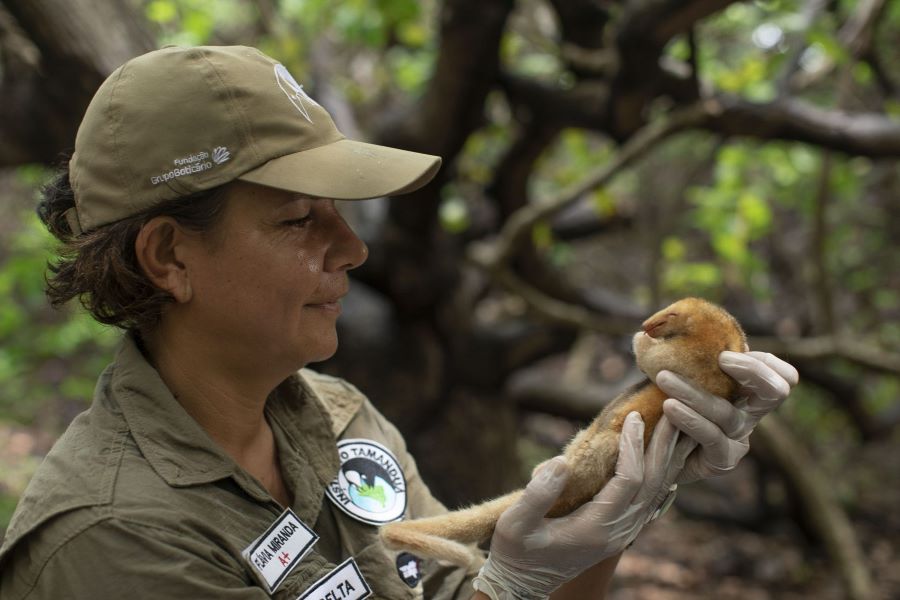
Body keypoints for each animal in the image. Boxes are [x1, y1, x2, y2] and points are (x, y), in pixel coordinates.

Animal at [379, 297, 748, 567]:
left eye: (668, 315)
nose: (646, 324)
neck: (720, 339)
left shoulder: (695, 359)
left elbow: (657, 361)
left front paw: (640, 341)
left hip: (590, 463)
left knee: (605, 443)